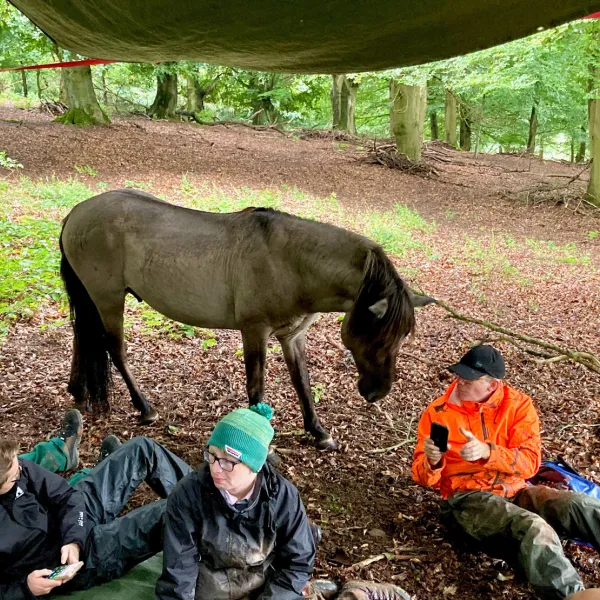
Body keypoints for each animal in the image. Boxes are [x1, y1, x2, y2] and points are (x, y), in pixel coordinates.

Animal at [61, 190, 434, 448]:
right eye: (378, 336)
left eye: (402, 338)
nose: (377, 392)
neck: (291, 262)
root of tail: (76, 212)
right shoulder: (255, 330)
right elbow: (257, 385)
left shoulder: (291, 336)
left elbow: (302, 383)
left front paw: (319, 432)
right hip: (109, 299)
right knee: (115, 349)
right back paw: (145, 408)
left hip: (91, 298)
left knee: (82, 336)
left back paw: (79, 392)